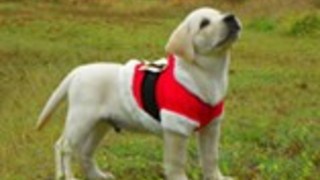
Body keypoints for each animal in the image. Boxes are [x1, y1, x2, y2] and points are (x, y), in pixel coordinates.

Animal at [36, 6, 241, 179]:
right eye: (204, 23)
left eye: (221, 13)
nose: (231, 17)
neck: (207, 74)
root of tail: (77, 71)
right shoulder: (176, 128)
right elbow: (177, 164)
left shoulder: (212, 127)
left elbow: (210, 159)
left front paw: (217, 178)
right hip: (81, 120)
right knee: (64, 147)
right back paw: (67, 176)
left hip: (100, 124)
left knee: (85, 152)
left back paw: (97, 175)